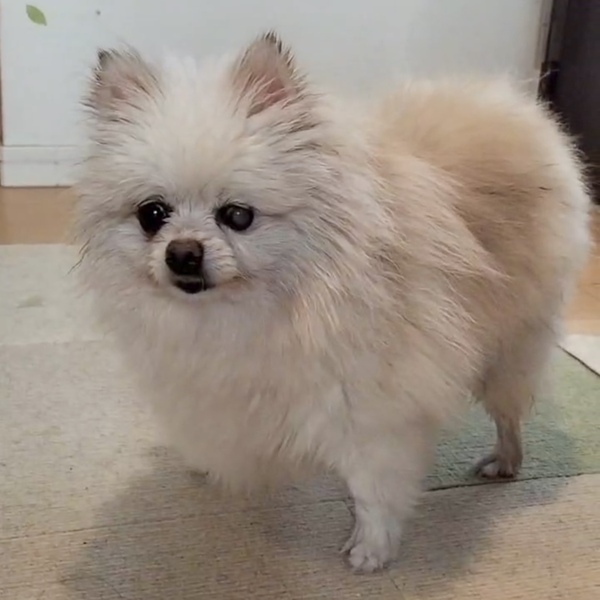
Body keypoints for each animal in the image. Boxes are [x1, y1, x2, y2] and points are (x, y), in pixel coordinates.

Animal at [75, 32, 591, 571]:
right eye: (152, 215)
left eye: (237, 216)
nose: (182, 253)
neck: (258, 307)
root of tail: (508, 106)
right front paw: (211, 465)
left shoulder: (368, 410)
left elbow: (372, 490)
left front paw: (372, 548)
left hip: (510, 348)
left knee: (509, 412)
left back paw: (506, 459)